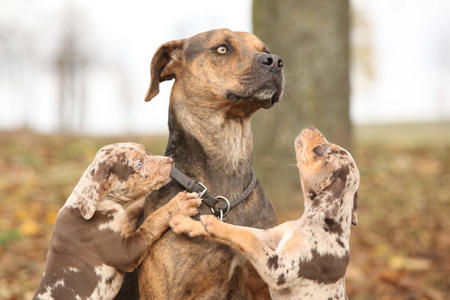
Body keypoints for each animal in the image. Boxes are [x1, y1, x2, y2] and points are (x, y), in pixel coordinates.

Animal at [34, 143, 202, 300]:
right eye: (138, 164)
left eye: (145, 151)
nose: (170, 161)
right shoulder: (126, 252)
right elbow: (151, 221)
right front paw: (179, 205)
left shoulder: (123, 220)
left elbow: (133, 209)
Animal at [171, 127, 360, 300]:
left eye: (326, 150)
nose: (312, 127)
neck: (310, 223)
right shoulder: (268, 236)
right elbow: (240, 230)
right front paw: (187, 223)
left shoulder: (278, 269)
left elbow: (248, 238)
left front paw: (212, 224)